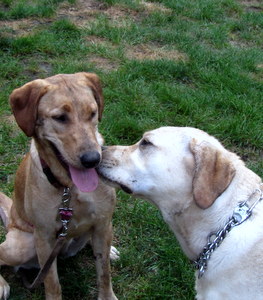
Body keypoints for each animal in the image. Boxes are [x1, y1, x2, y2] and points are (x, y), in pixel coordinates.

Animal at [0, 72, 118, 300]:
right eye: (60, 117)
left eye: (93, 113)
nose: (92, 160)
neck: (70, 188)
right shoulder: (45, 238)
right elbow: (52, 283)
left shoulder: (102, 222)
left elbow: (104, 273)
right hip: (23, 245)